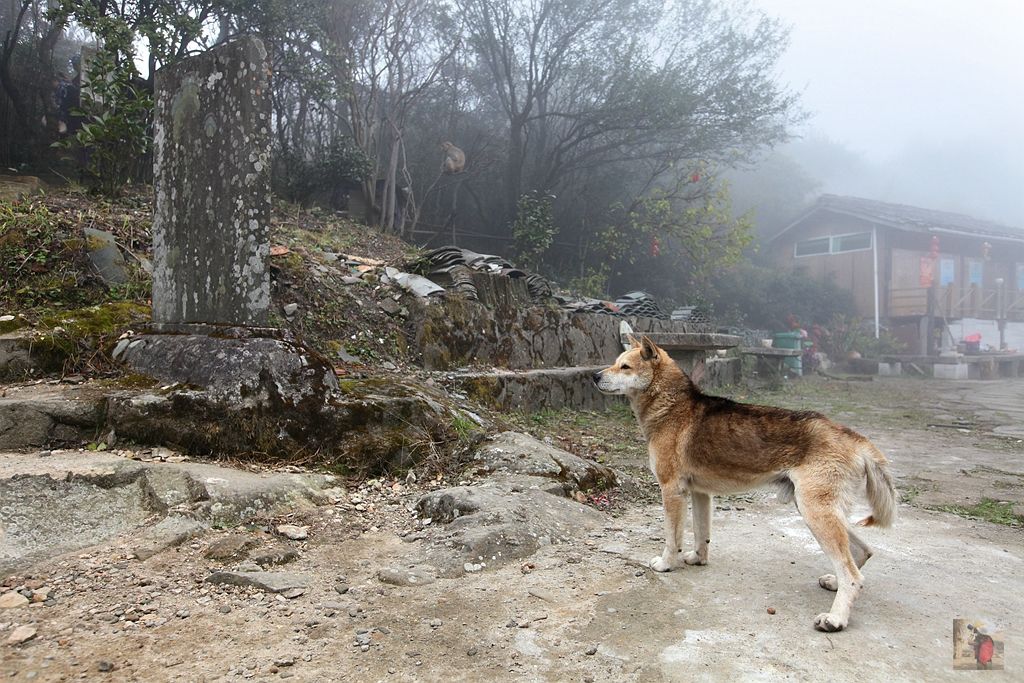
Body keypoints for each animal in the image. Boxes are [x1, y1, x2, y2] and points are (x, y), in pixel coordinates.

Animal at [593, 333, 897, 634]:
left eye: (625, 367)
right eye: (615, 363)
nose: (595, 376)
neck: (672, 407)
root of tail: (853, 437)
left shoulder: (672, 491)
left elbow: (672, 539)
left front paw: (667, 564)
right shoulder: (700, 494)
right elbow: (701, 534)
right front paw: (697, 559)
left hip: (815, 513)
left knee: (853, 575)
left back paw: (835, 619)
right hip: (817, 510)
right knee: (864, 552)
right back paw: (834, 584)